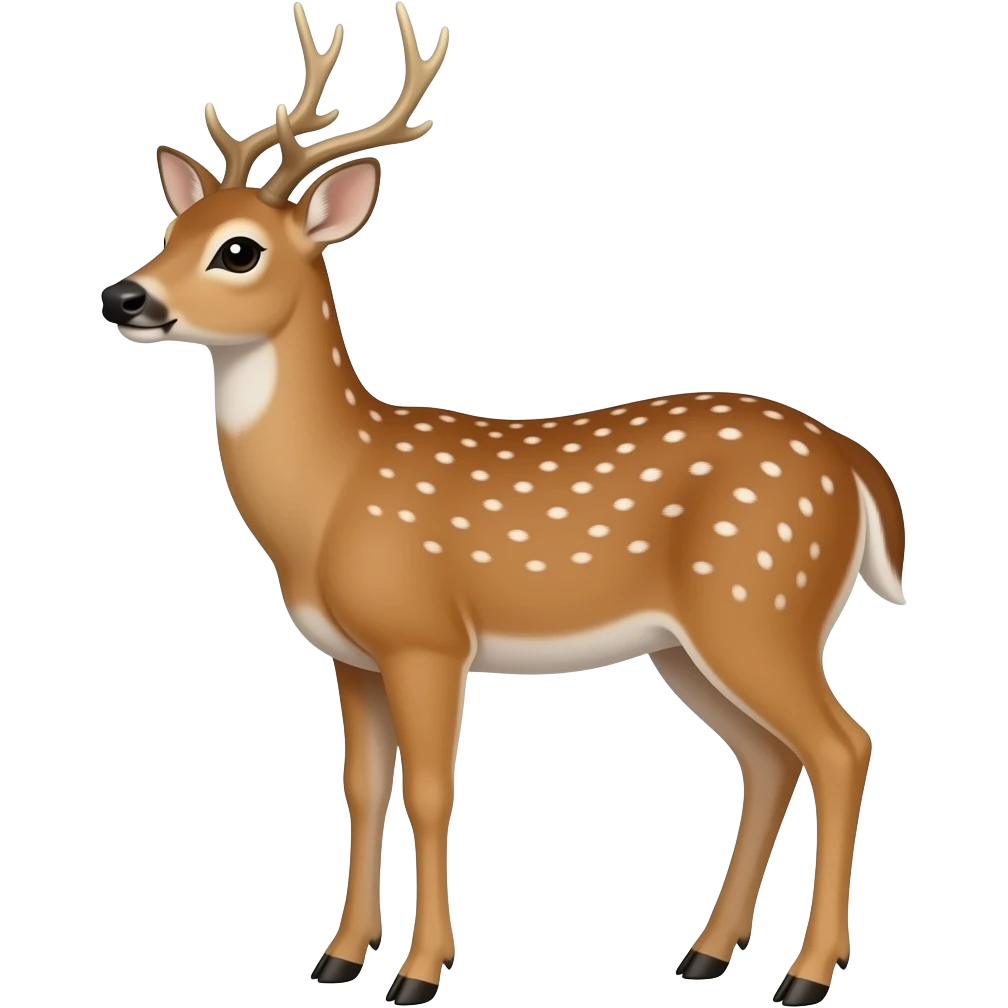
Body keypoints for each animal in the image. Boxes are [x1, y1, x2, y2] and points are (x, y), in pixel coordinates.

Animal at [98, 4, 907, 1005]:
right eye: (172, 228)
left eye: (238, 249)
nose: (123, 295)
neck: (332, 496)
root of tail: (857, 464)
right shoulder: (351, 655)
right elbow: (361, 789)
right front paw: (339, 957)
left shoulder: (427, 636)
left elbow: (431, 791)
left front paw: (419, 972)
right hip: (691, 642)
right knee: (769, 759)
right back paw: (706, 955)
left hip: (760, 601)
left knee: (842, 745)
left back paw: (806, 974)